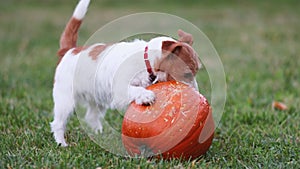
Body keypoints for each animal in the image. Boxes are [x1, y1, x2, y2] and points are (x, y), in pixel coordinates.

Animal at [50, 0, 200, 146]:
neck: (146, 61)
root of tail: (69, 50)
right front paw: (146, 96)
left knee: (91, 116)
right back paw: (61, 143)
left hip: (97, 98)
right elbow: (135, 90)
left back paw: (100, 136)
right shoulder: (120, 90)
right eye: (187, 74)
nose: (196, 94)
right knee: (58, 123)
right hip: (65, 100)